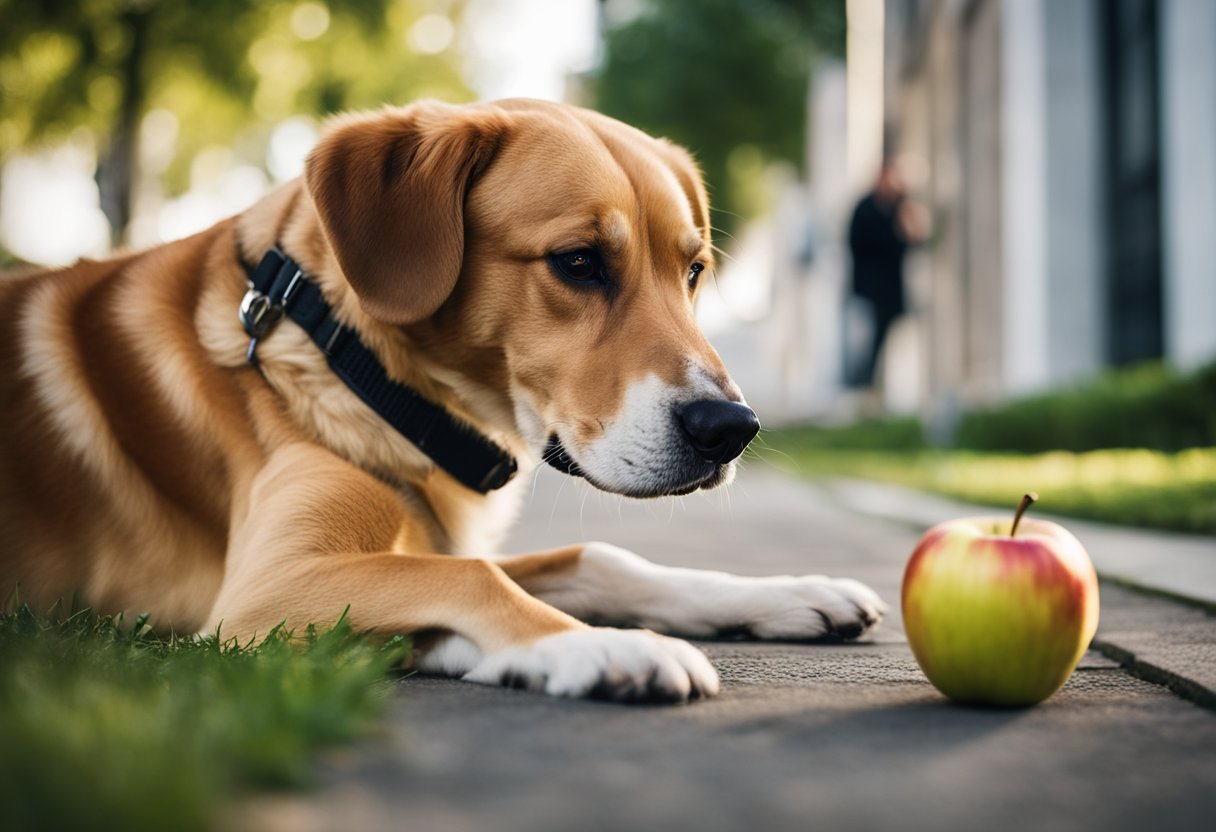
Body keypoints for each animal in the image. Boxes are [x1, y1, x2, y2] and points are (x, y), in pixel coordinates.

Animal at [0, 100, 885, 705]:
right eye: (578, 262)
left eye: (693, 270)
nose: (731, 429)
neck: (352, 363)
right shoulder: (262, 590)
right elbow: (472, 582)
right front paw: (603, 649)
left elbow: (597, 559)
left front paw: (791, 593)